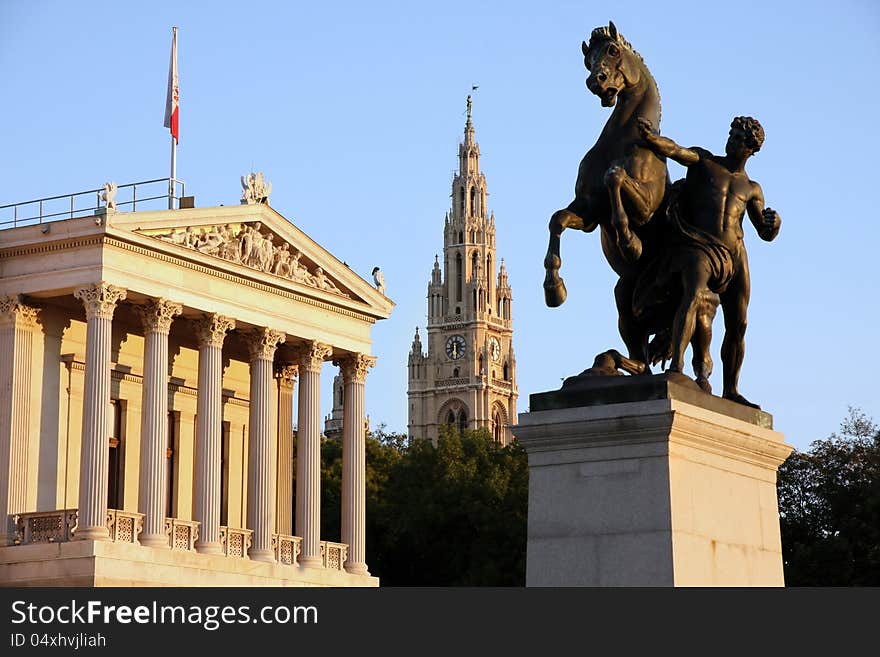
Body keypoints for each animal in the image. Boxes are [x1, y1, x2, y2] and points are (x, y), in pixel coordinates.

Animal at [544, 21, 668, 368]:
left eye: (613, 50)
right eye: (588, 61)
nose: (594, 82)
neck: (623, 138)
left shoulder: (647, 206)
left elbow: (615, 176)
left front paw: (630, 242)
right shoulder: (588, 211)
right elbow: (557, 220)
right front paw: (554, 289)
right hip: (624, 298)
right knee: (640, 359)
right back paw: (606, 360)